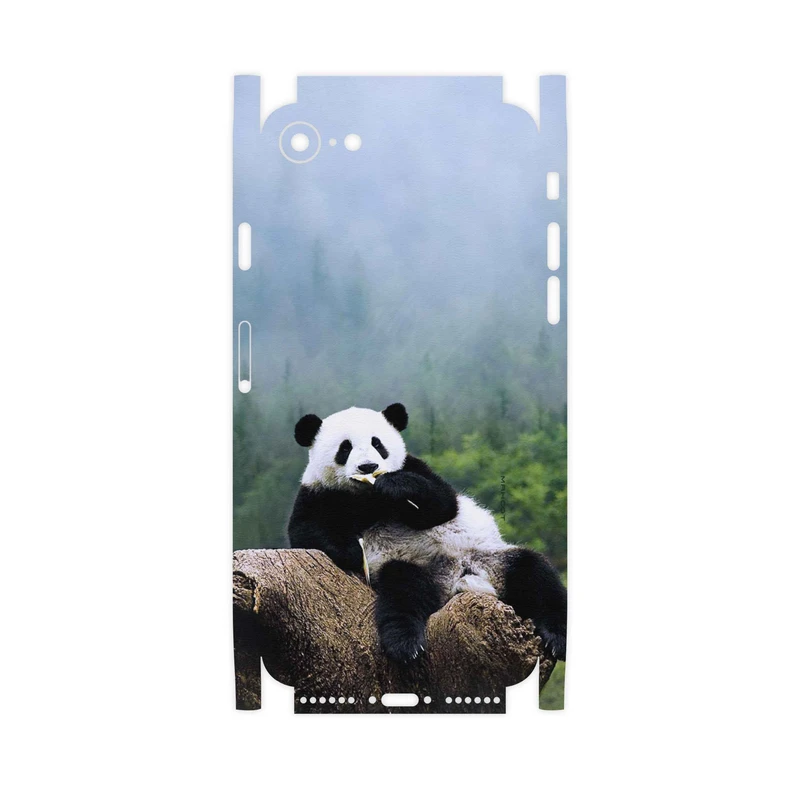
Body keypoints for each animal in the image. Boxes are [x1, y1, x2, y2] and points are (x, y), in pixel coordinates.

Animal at [288, 403, 567, 663]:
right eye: (345, 448)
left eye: (377, 443)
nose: (368, 466)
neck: (367, 497)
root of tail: (460, 578)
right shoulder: (318, 493)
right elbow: (305, 531)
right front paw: (353, 551)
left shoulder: (415, 467)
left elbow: (442, 504)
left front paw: (394, 486)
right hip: (415, 567)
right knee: (403, 591)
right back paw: (406, 644)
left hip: (491, 558)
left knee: (535, 575)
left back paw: (557, 637)